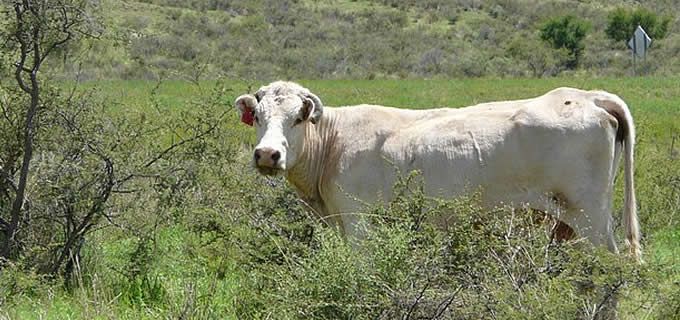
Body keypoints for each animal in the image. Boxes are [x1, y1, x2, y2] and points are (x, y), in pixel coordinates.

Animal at [235, 81, 644, 262]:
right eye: (259, 117)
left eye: (298, 118)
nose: (268, 154)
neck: (334, 142)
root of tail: (589, 96)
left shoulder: (359, 222)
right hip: (566, 225)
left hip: (591, 220)